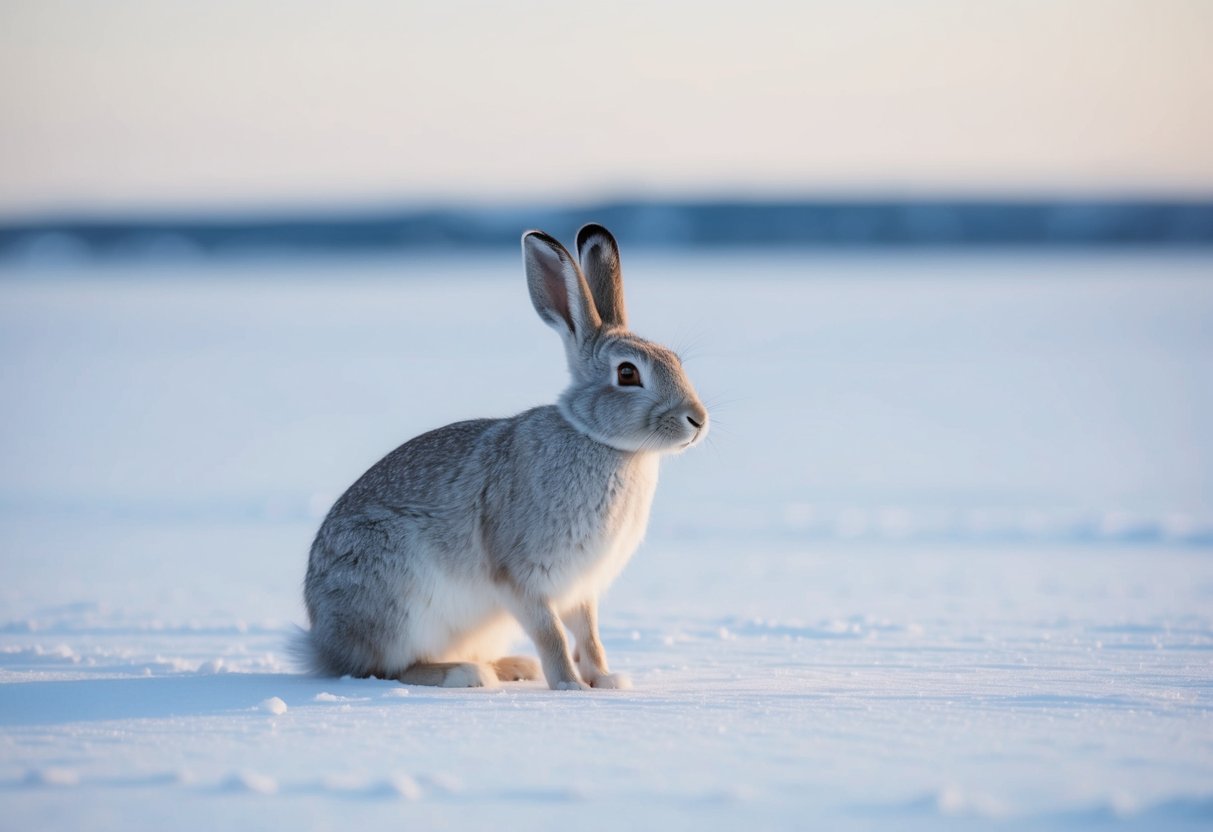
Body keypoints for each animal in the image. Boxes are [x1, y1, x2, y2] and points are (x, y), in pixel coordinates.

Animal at [295, 224, 708, 690]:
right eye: (627, 373)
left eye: (675, 360)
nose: (697, 420)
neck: (603, 443)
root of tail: (322, 642)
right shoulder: (522, 578)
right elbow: (551, 634)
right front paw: (568, 685)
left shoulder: (581, 589)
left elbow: (589, 635)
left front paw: (606, 681)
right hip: (393, 597)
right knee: (385, 668)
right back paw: (465, 673)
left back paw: (512, 667)